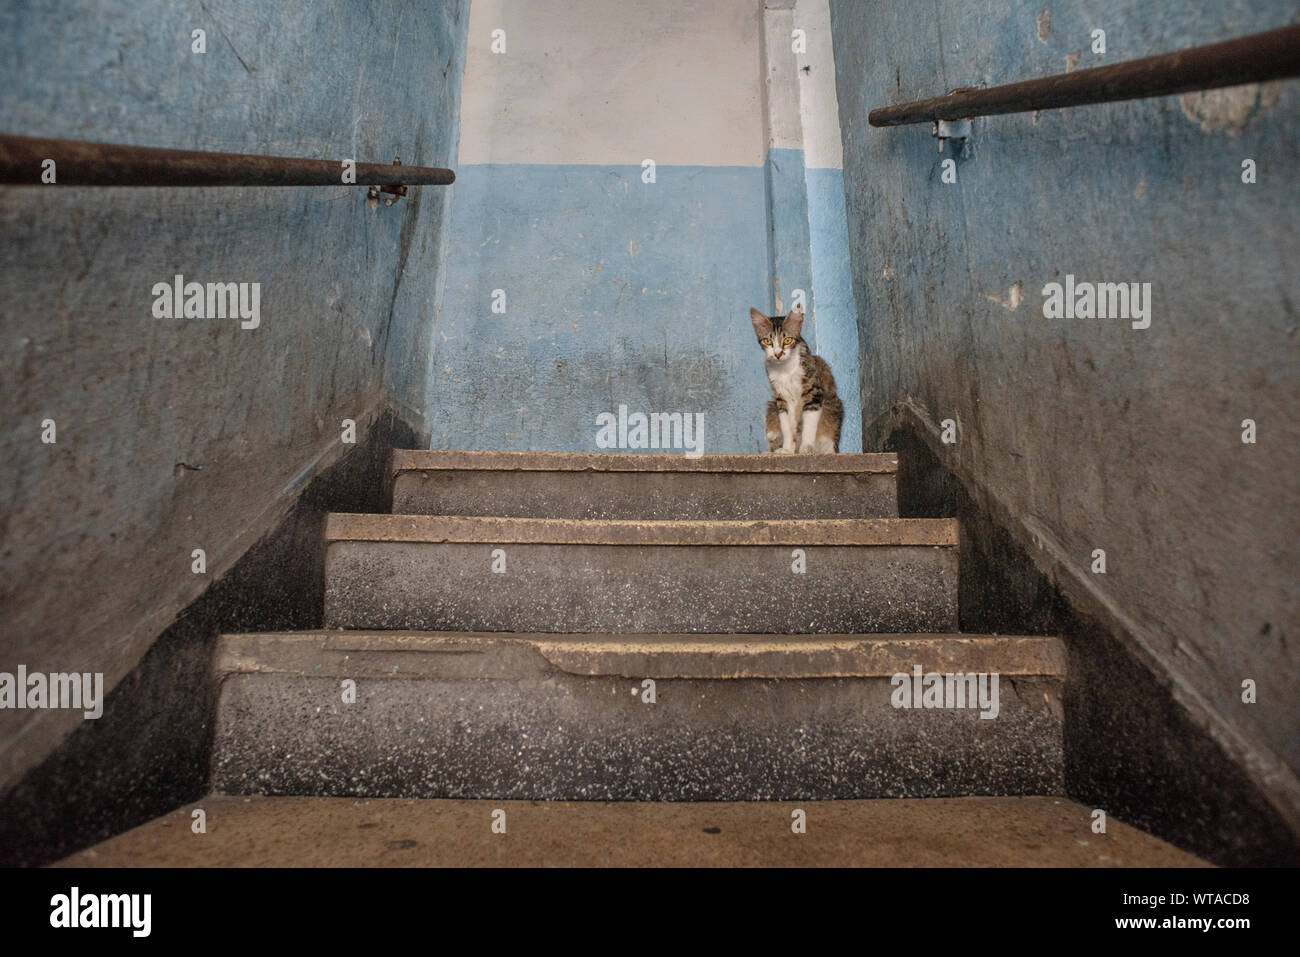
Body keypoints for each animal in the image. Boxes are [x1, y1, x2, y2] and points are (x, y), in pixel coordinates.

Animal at [754, 306, 842, 455]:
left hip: (833, 408)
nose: (778, 354)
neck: (785, 369)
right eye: (768, 341)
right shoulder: (781, 399)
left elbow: (809, 424)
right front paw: (787, 450)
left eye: (787, 340)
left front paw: (806, 448)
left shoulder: (813, 393)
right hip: (772, 407)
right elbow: (787, 428)